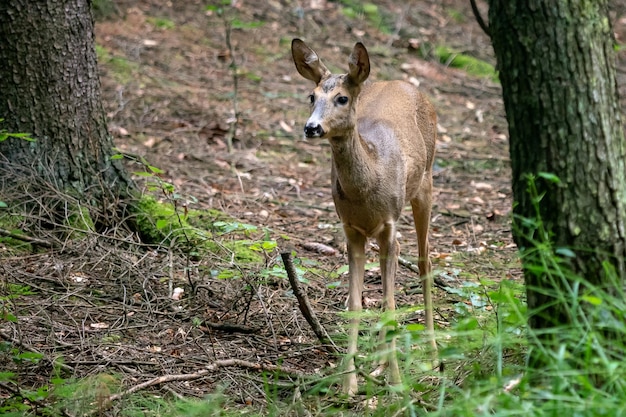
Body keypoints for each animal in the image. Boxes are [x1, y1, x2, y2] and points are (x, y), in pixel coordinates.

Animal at [290, 38, 436, 394]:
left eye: (342, 98)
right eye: (312, 96)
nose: (311, 127)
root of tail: (405, 83)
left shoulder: (389, 225)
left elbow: (391, 303)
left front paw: (396, 383)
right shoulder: (351, 230)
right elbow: (356, 304)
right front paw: (349, 384)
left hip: (425, 183)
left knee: (425, 260)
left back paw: (433, 352)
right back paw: (380, 362)